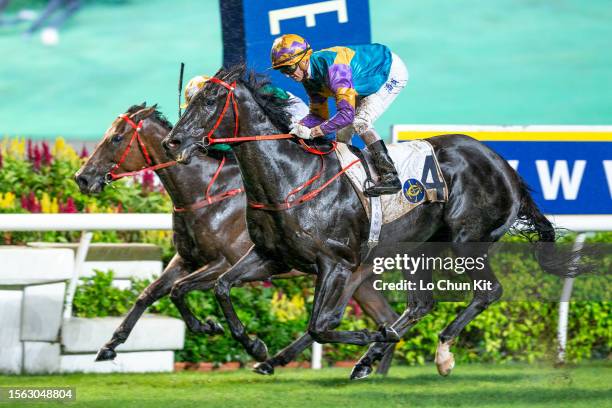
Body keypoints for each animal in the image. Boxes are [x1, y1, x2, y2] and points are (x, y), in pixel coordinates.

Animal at [74, 103, 400, 372]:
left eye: (116, 138)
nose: (83, 178)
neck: (205, 193)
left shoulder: (224, 262)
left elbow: (179, 289)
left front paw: (220, 331)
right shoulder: (186, 259)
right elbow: (151, 293)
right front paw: (109, 345)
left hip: (350, 272)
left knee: (335, 319)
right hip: (359, 278)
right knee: (381, 315)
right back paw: (370, 366)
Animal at [163, 63, 588, 380]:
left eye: (210, 99)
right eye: (190, 98)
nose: (173, 143)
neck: (290, 177)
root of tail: (503, 165)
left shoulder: (336, 263)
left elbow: (320, 324)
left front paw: (370, 334)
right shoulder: (273, 257)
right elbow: (219, 286)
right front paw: (246, 342)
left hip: (466, 241)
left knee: (488, 292)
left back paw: (439, 353)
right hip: (418, 250)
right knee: (421, 304)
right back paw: (372, 356)